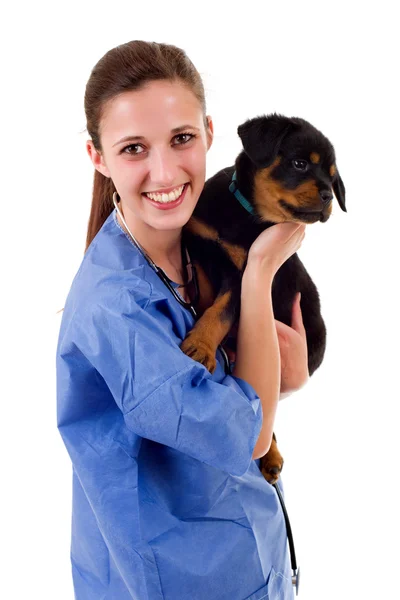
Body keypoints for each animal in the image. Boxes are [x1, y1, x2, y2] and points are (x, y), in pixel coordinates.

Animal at [180, 112, 346, 486]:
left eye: (332, 176)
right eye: (300, 163)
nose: (329, 196)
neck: (248, 217)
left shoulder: (245, 278)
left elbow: (222, 310)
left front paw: (200, 346)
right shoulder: (198, 243)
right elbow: (208, 293)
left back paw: (271, 457)